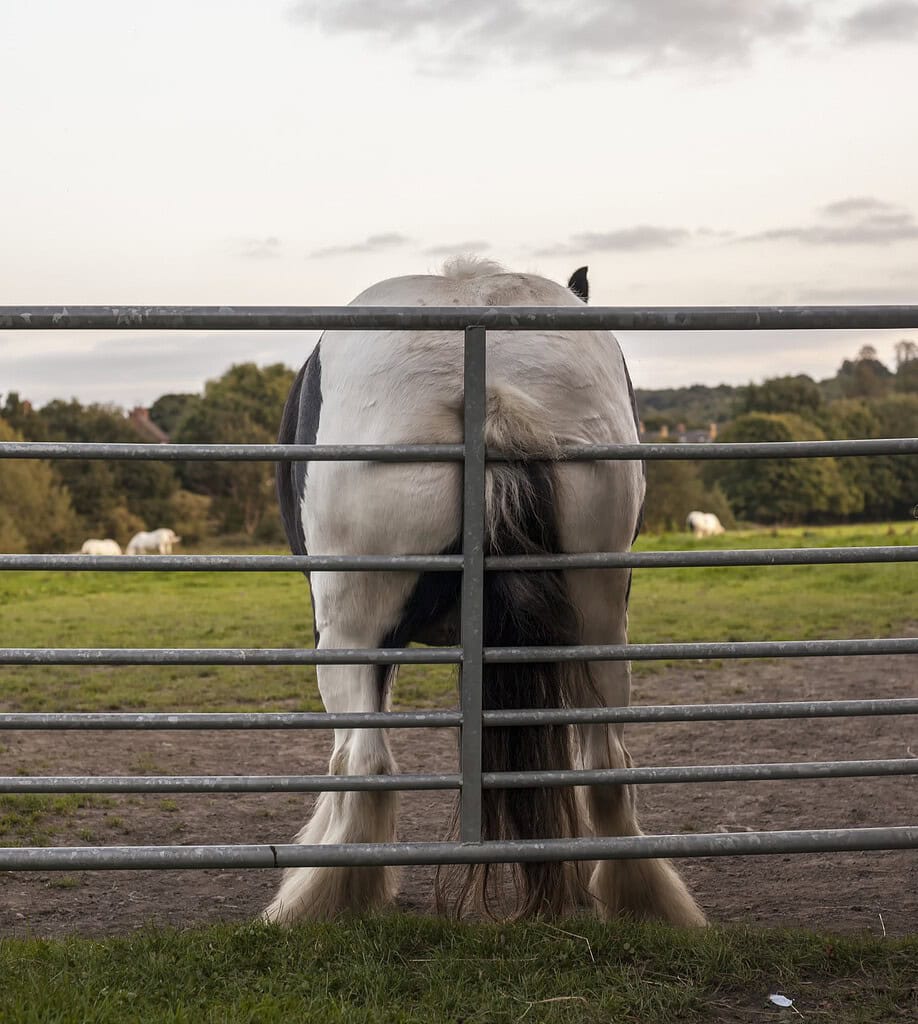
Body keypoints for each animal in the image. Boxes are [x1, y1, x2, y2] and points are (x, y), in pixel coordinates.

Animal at [266, 256, 704, 929]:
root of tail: (495, 389)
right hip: (601, 618)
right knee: (607, 764)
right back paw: (640, 900)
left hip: (350, 629)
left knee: (363, 764)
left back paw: (323, 901)